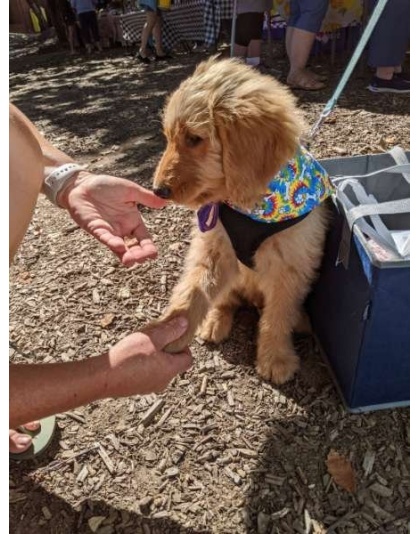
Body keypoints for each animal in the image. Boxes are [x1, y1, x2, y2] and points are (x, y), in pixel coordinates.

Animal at [153, 58, 334, 386]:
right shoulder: (214, 249)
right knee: (226, 299)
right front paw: (171, 329)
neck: (252, 204)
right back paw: (214, 322)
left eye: (194, 139)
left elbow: (278, 315)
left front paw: (276, 358)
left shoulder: (291, 266)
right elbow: (193, 290)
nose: (157, 190)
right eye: (169, 137)